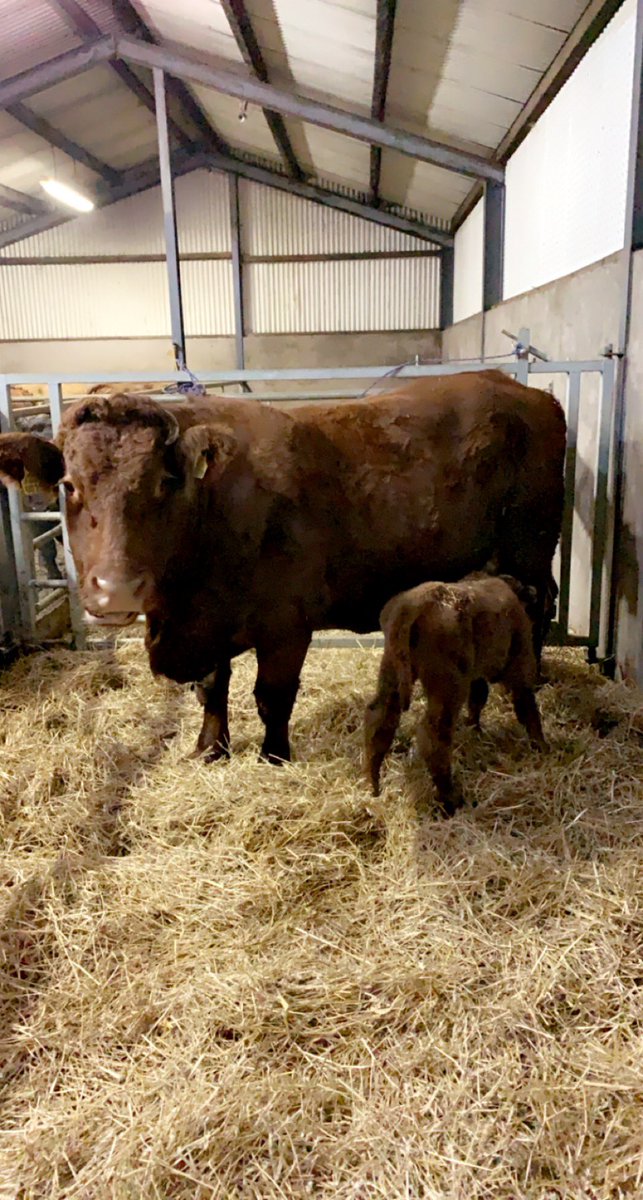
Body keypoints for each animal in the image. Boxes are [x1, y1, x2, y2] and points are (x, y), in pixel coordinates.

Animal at [0, 371, 566, 764]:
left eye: (164, 482)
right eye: (69, 485)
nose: (115, 591)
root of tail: (520, 389)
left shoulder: (287, 625)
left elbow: (272, 697)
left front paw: (274, 757)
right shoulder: (209, 621)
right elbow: (212, 687)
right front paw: (209, 748)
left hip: (529, 552)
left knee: (539, 609)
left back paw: (529, 687)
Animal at [364, 572, 547, 812]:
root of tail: (413, 606)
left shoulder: (476, 675)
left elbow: (478, 698)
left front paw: (475, 728)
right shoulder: (520, 662)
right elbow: (527, 706)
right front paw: (542, 746)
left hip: (392, 672)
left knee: (379, 719)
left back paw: (374, 785)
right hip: (448, 686)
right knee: (435, 734)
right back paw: (451, 798)